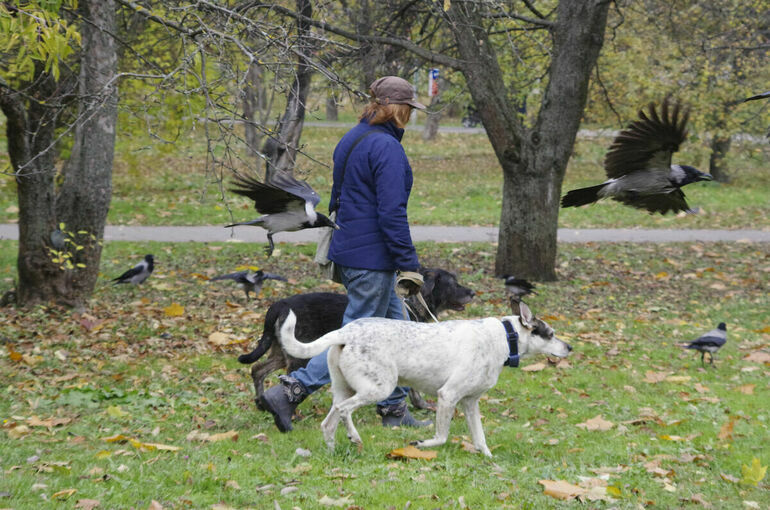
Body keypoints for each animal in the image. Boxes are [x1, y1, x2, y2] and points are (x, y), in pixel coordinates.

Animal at [236, 268, 474, 408]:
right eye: (453, 283)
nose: (473, 293)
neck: (412, 305)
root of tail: (280, 304)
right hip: (299, 355)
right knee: (287, 378)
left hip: (280, 350)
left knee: (257, 369)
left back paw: (260, 401)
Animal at [276, 300, 568, 456]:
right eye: (551, 334)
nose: (570, 347)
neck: (506, 336)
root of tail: (346, 331)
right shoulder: (447, 396)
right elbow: (441, 437)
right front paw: (421, 443)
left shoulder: (470, 403)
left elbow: (480, 438)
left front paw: (489, 459)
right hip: (378, 388)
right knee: (344, 411)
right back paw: (354, 437)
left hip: (344, 389)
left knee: (329, 423)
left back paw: (335, 451)